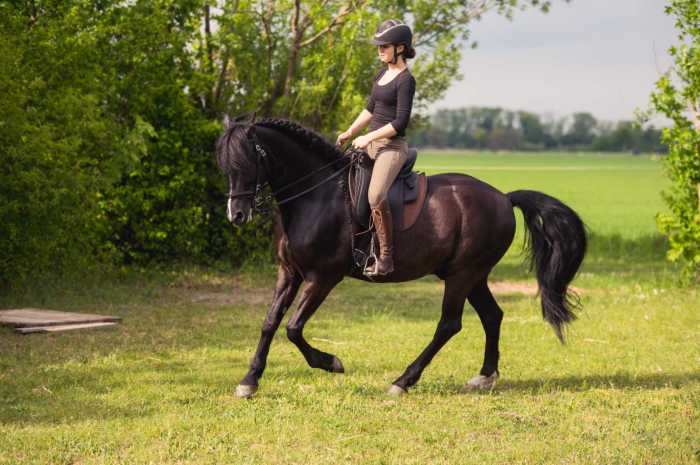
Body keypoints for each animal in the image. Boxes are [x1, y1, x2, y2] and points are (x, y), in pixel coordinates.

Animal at [216, 115, 588, 396]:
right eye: (224, 164)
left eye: (246, 161)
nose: (237, 214)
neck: (315, 197)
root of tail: (504, 198)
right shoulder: (289, 272)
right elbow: (270, 322)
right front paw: (249, 380)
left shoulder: (323, 276)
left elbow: (293, 327)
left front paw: (331, 362)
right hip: (472, 274)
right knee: (492, 315)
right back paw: (484, 376)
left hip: (463, 274)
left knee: (449, 324)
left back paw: (403, 381)